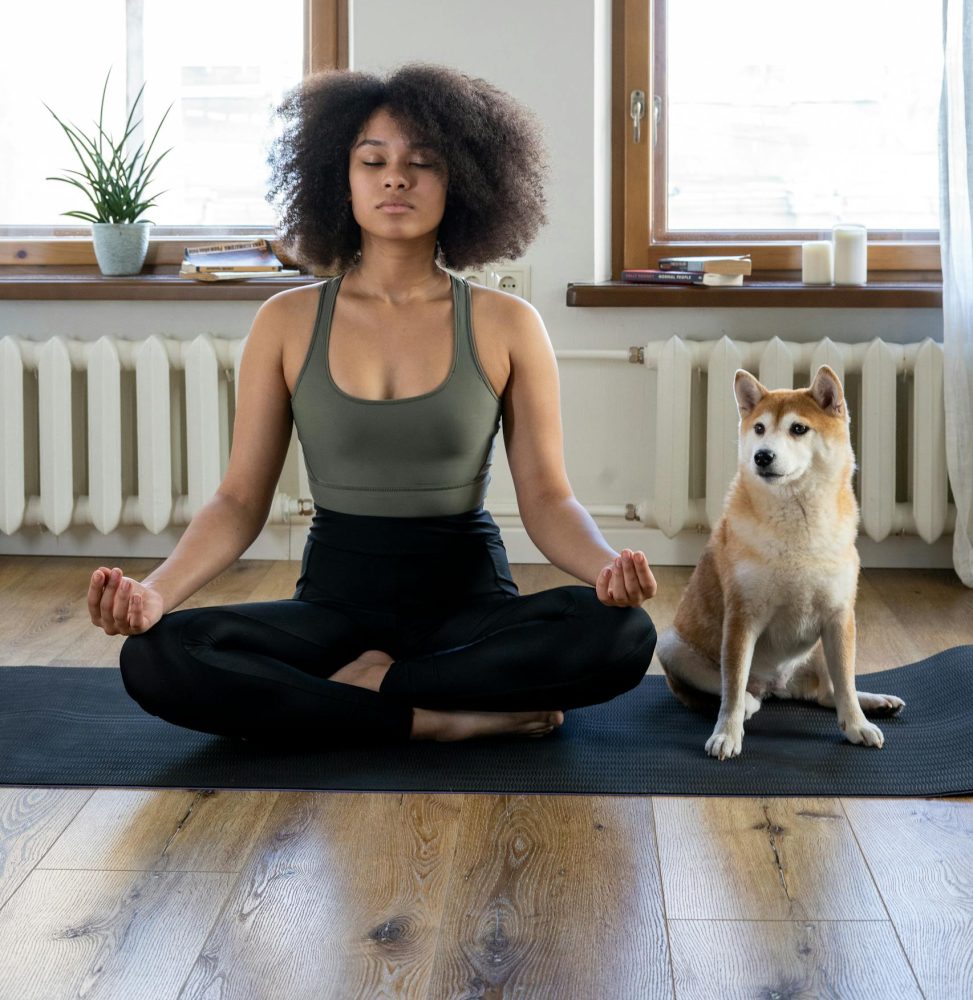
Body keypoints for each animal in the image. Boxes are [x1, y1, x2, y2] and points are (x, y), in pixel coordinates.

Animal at [656, 366, 900, 756]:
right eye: (759, 428)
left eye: (798, 428)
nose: (762, 456)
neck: (797, 526)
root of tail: (779, 686)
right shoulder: (742, 617)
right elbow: (732, 687)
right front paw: (727, 733)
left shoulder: (839, 616)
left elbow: (846, 684)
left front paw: (857, 724)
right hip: (672, 644)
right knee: (738, 692)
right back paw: (750, 704)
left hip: (821, 647)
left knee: (827, 693)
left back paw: (875, 702)